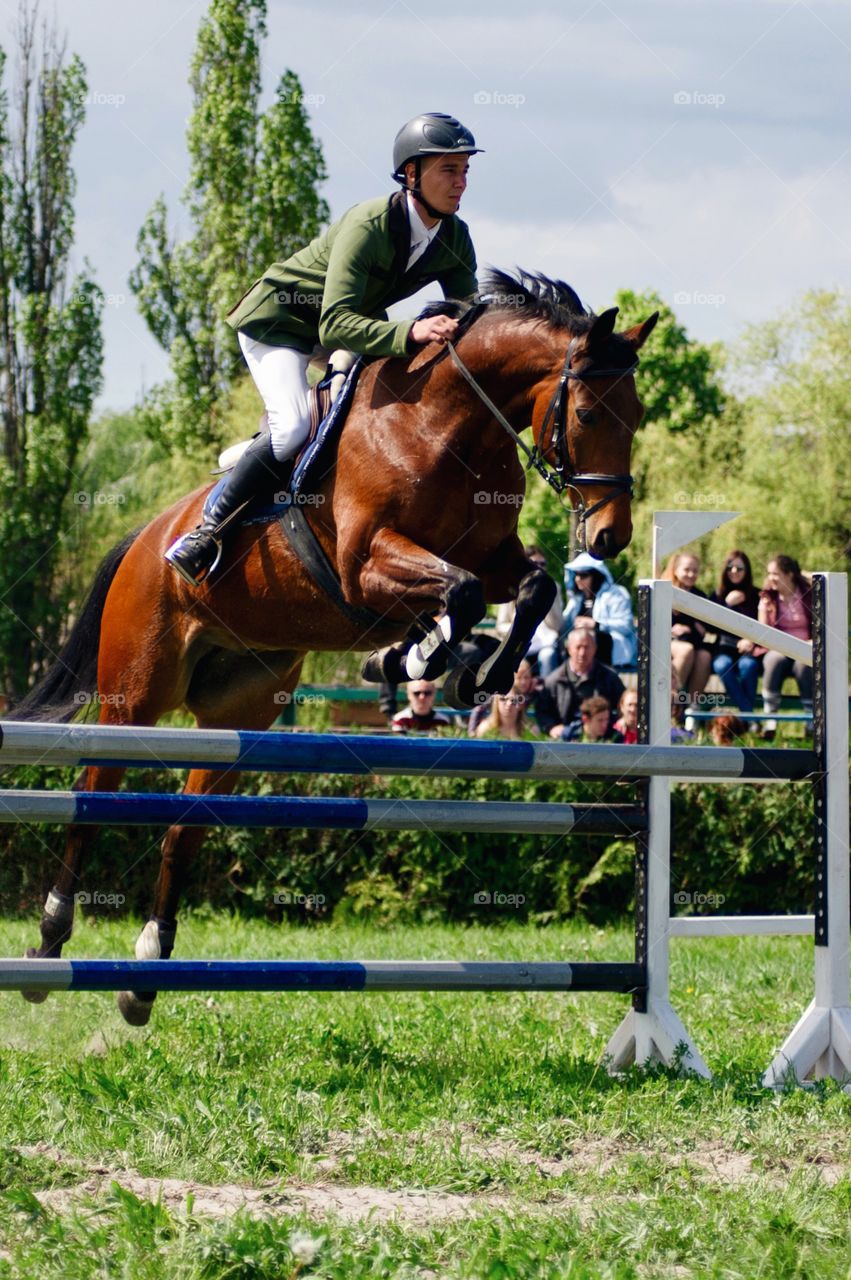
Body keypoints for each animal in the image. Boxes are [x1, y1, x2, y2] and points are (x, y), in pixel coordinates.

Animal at [11, 269, 657, 1024]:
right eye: (588, 415)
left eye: (638, 413)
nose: (611, 536)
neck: (447, 425)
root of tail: (144, 537)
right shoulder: (364, 564)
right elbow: (463, 592)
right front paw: (423, 658)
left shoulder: (489, 556)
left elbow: (528, 586)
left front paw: (456, 668)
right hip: (134, 697)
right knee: (89, 804)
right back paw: (48, 946)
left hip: (240, 714)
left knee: (181, 829)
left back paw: (144, 971)